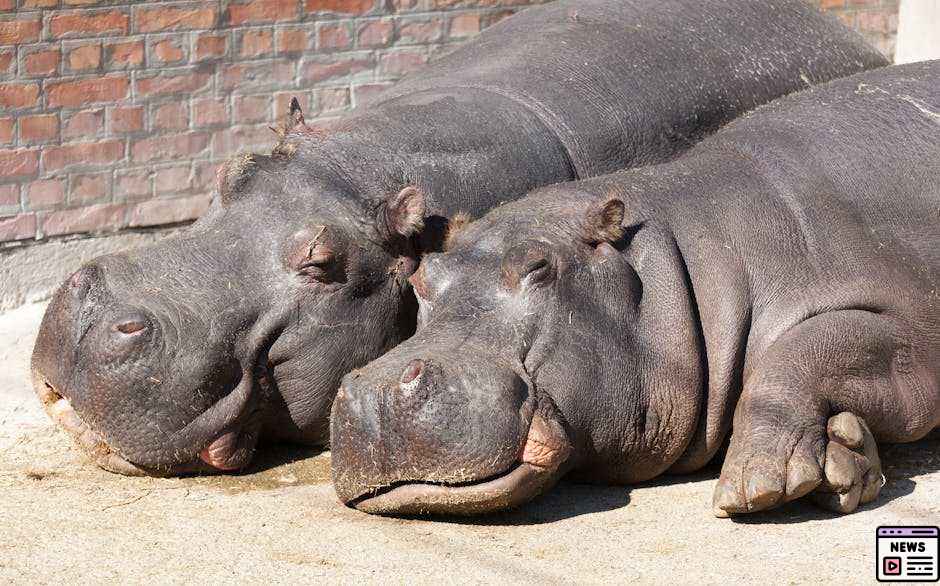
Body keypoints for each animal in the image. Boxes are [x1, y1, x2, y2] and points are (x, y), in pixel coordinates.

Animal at [328, 60, 940, 516]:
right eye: (421, 277)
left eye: (539, 266)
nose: (376, 390)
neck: (695, 253)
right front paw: (847, 456)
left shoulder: (906, 328)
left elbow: (802, 352)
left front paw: (759, 483)